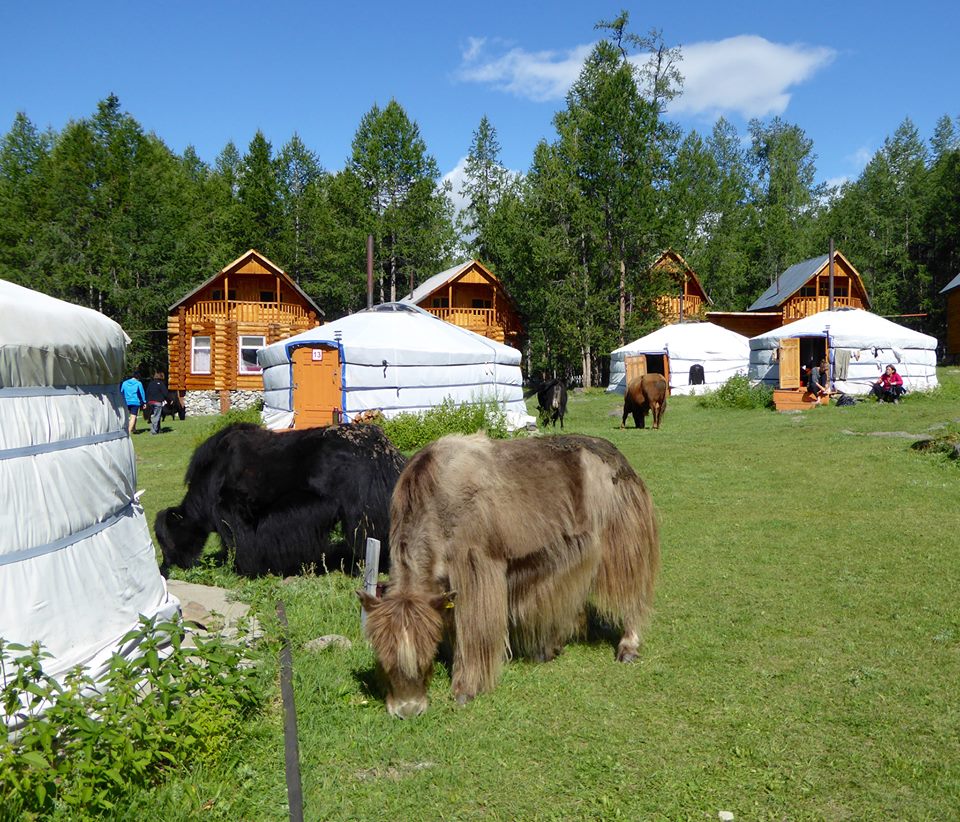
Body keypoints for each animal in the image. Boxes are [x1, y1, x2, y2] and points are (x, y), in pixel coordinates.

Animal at [156, 428, 404, 576]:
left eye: (168, 540)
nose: (165, 568)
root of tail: (383, 450)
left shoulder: (232, 514)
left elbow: (238, 543)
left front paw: (244, 570)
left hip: (361, 514)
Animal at [354, 434, 660, 716]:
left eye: (425, 653)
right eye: (381, 656)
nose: (407, 710)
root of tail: (618, 456)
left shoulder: (476, 569)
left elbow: (472, 628)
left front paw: (465, 687)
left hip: (620, 541)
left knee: (632, 594)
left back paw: (627, 648)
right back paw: (552, 647)